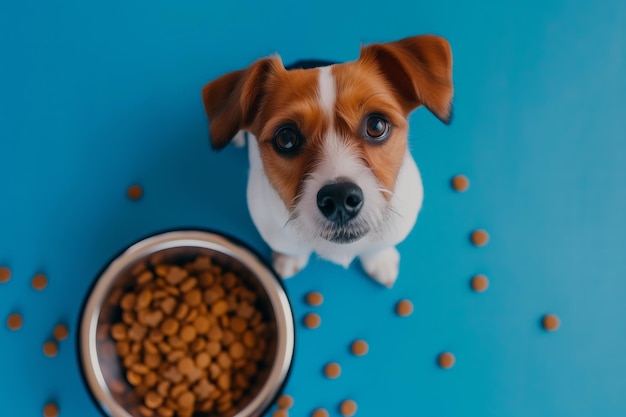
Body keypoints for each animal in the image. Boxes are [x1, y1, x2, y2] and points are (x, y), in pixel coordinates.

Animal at [202, 35, 450, 286]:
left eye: (377, 125)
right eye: (286, 138)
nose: (340, 197)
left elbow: (377, 247)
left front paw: (380, 261)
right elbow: (290, 249)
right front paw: (289, 260)